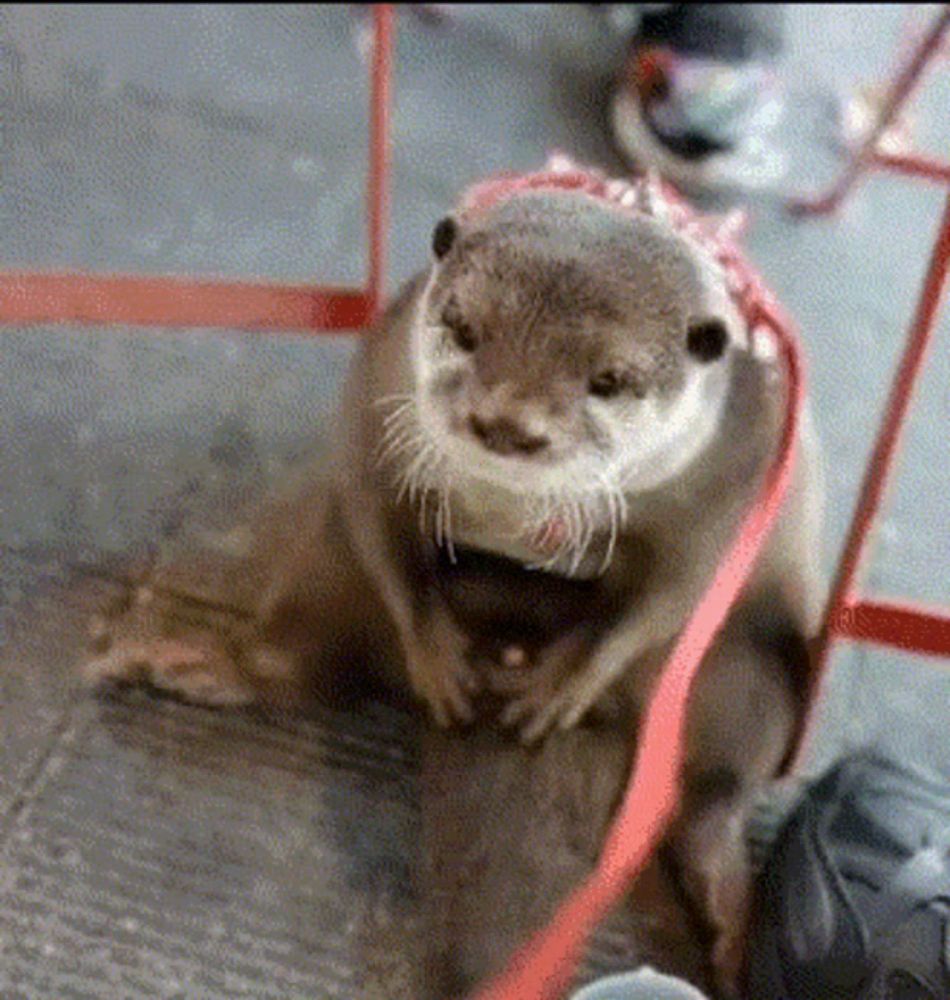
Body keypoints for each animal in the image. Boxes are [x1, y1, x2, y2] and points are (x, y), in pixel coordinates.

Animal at [80, 166, 824, 1000]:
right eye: (465, 330)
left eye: (609, 379)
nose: (508, 423)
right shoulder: (381, 390)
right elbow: (372, 497)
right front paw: (433, 652)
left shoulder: (733, 481)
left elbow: (678, 589)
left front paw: (566, 681)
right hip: (330, 564)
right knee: (304, 646)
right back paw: (185, 662)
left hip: (747, 667)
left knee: (717, 788)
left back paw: (728, 911)